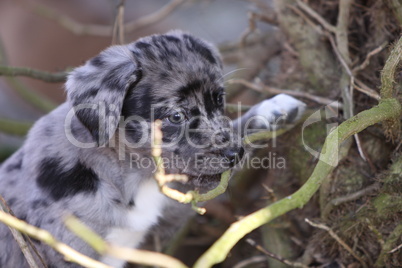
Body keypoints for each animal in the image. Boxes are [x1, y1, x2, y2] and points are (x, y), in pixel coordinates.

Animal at [0, 30, 304, 266]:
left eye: (219, 100)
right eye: (176, 116)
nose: (235, 154)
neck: (133, 178)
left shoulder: (170, 214)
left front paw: (272, 110)